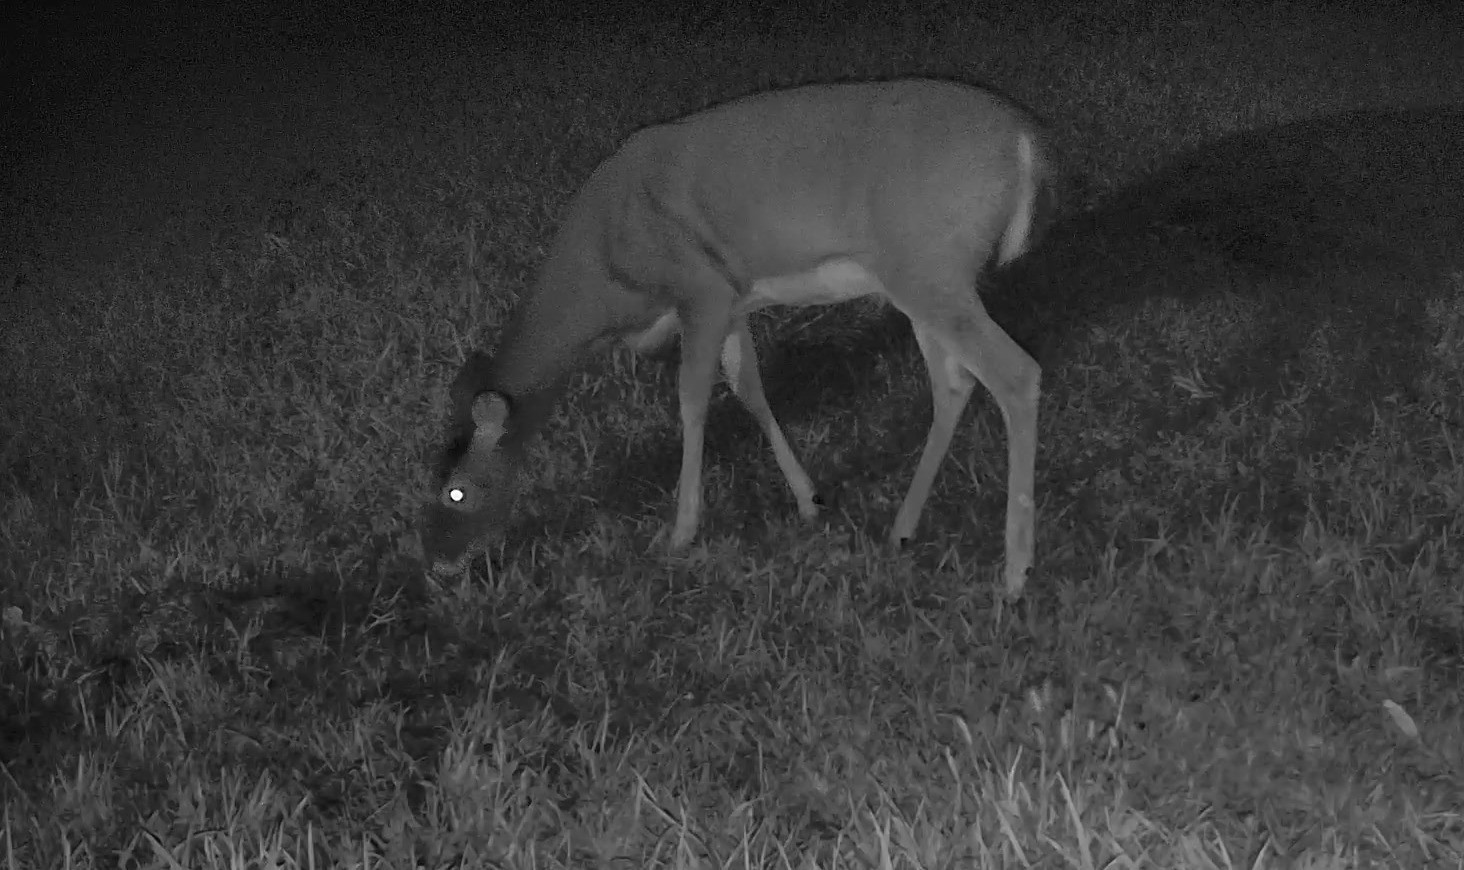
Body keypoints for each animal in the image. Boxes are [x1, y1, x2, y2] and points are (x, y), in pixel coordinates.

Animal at [421, 78, 1052, 600]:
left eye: (457, 492)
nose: (437, 565)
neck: (605, 280)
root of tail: (1024, 138)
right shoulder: (733, 300)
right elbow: (749, 387)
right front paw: (810, 501)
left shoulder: (699, 288)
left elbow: (692, 399)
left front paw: (680, 533)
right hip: (923, 281)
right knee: (955, 384)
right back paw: (901, 531)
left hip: (928, 266)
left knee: (1015, 373)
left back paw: (1015, 573)